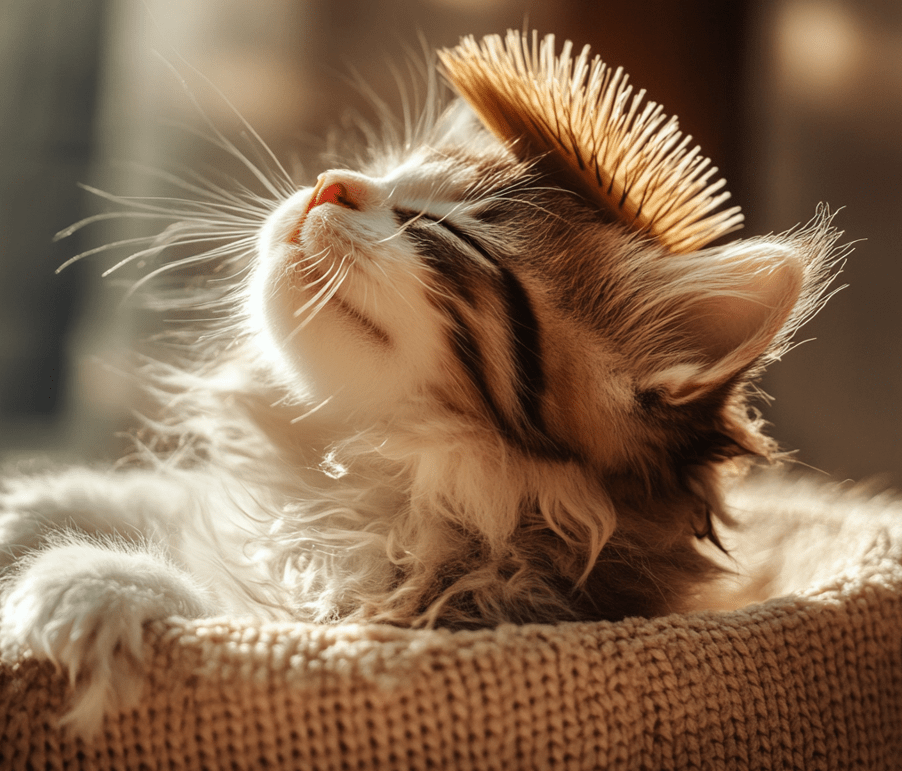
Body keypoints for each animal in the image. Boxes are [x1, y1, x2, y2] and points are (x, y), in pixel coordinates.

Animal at [3, 31, 844, 736]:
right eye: (379, 171)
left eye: (442, 231)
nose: (327, 183)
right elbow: (140, 494)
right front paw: (30, 508)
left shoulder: (427, 618)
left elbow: (219, 605)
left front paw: (91, 579)